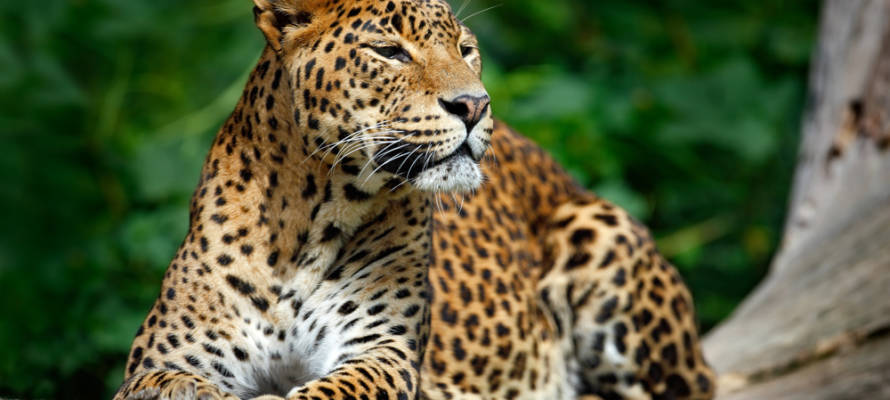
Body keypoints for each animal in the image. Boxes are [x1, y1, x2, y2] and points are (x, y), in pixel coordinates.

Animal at [115, 0, 716, 399]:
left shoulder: (384, 352)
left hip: (600, 233)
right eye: (389, 51)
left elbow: (333, 390)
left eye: (466, 51)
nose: (475, 105)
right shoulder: (165, 356)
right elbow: (164, 383)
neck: (305, 222)